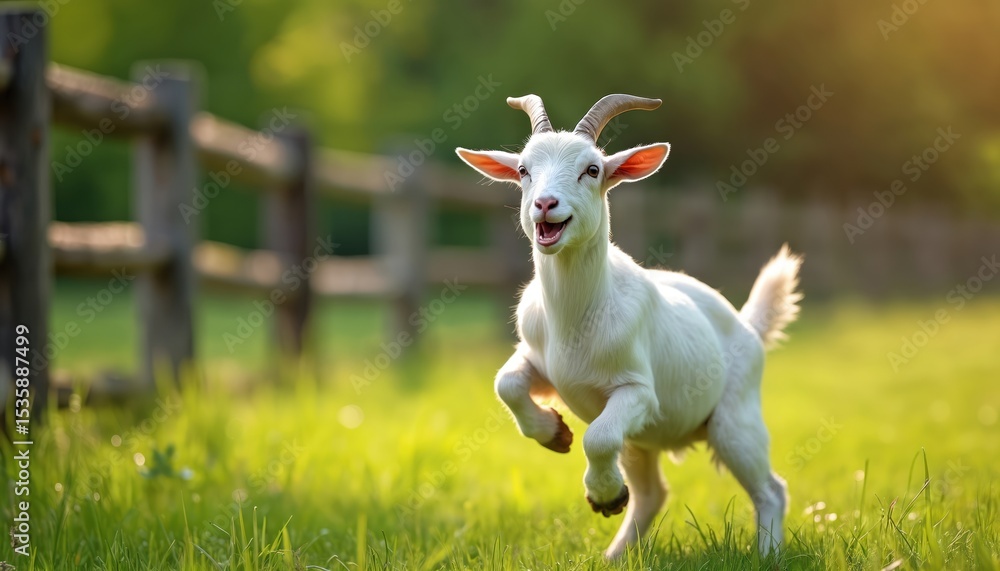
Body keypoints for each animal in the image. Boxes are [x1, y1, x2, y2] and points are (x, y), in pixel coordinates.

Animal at [455, 94, 802, 559]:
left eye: (592, 169)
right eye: (524, 170)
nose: (544, 204)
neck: (575, 319)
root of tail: (747, 323)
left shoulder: (638, 391)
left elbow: (598, 438)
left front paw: (602, 494)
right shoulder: (537, 359)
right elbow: (506, 384)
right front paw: (555, 435)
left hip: (736, 418)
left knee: (770, 489)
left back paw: (767, 555)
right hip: (642, 440)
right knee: (652, 493)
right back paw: (614, 555)